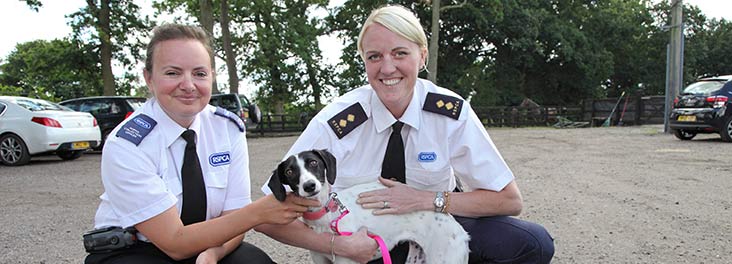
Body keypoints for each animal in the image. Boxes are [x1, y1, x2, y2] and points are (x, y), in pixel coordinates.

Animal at [268, 150, 468, 262]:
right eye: (289, 171)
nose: (309, 186)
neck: (326, 216)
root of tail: (459, 229)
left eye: (314, 162)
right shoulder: (319, 260)